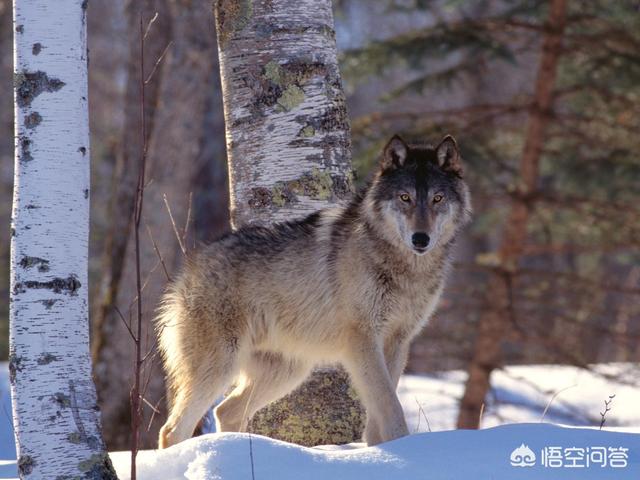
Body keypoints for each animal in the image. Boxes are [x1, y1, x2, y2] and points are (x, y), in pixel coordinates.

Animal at [155, 134, 470, 446]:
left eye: (437, 199)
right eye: (405, 198)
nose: (420, 239)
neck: (405, 270)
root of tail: (188, 269)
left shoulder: (397, 342)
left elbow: (380, 412)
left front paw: (381, 450)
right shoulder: (362, 341)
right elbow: (390, 406)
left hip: (288, 372)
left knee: (225, 411)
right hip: (221, 367)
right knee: (172, 430)